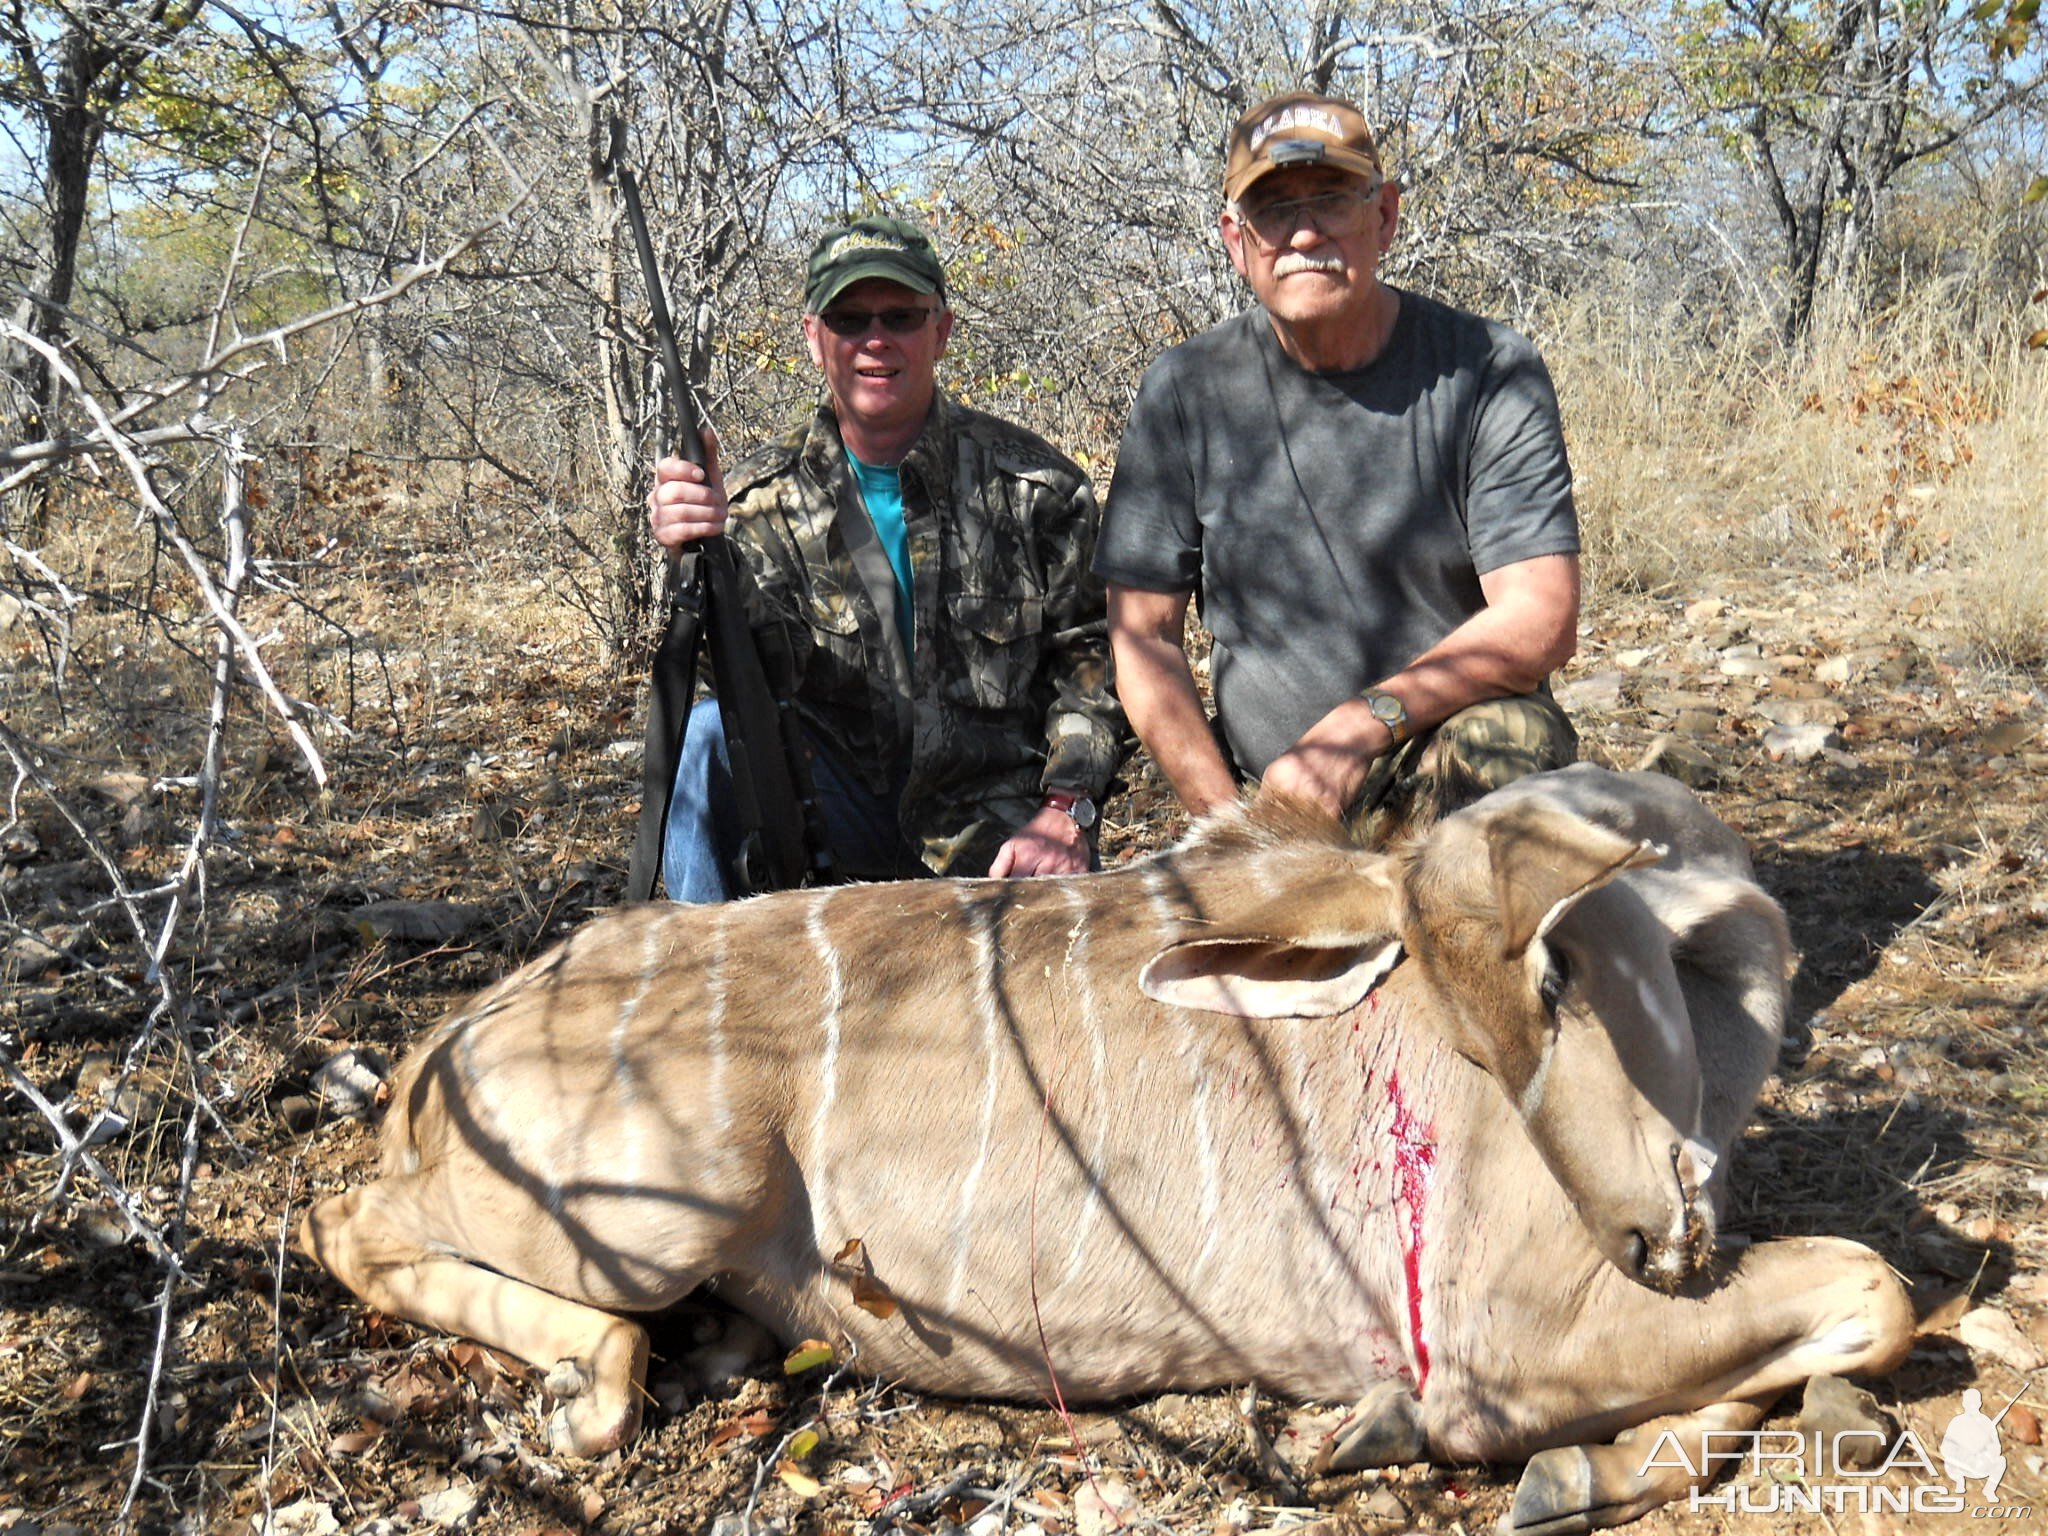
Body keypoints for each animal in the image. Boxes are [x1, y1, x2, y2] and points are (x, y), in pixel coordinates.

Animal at [299, 765, 1900, 1531]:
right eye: (1515, 997)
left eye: (1560, 977)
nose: (1652, 1236)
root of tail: (441, 1055)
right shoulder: (1515, 1343)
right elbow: (1868, 1289)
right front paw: (1416, 1441)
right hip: (651, 1216)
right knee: (342, 1225)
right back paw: (585, 1385)